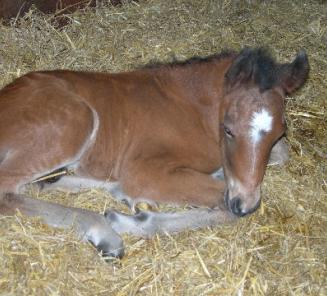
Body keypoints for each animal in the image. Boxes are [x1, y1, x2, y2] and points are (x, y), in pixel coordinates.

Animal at [0, 48, 310, 256]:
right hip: (77, 121)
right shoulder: (145, 171)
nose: (245, 204)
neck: (193, 111)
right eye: (229, 129)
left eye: (279, 133)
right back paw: (105, 232)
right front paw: (130, 221)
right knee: (7, 191)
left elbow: (279, 156)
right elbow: (224, 206)